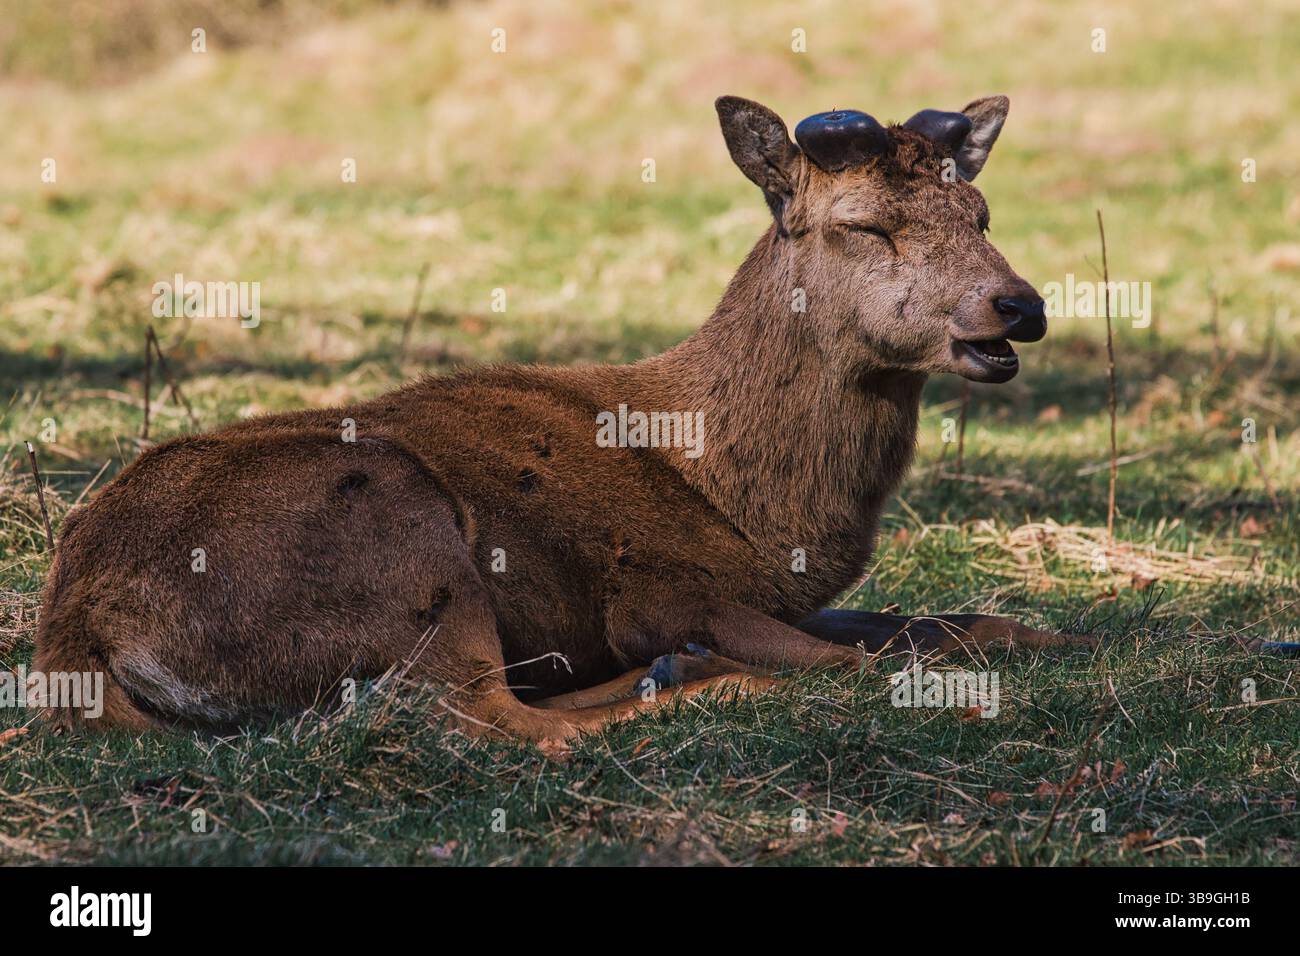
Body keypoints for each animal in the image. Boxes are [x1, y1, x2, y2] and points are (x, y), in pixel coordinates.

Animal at [34, 94, 1094, 749]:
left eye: (983, 212)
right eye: (865, 224)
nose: (1018, 307)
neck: (752, 511)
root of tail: (73, 631)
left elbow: (952, 621)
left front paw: (1065, 636)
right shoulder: (658, 584)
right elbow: (869, 655)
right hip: (394, 529)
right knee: (489, 719)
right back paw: (702, 679)